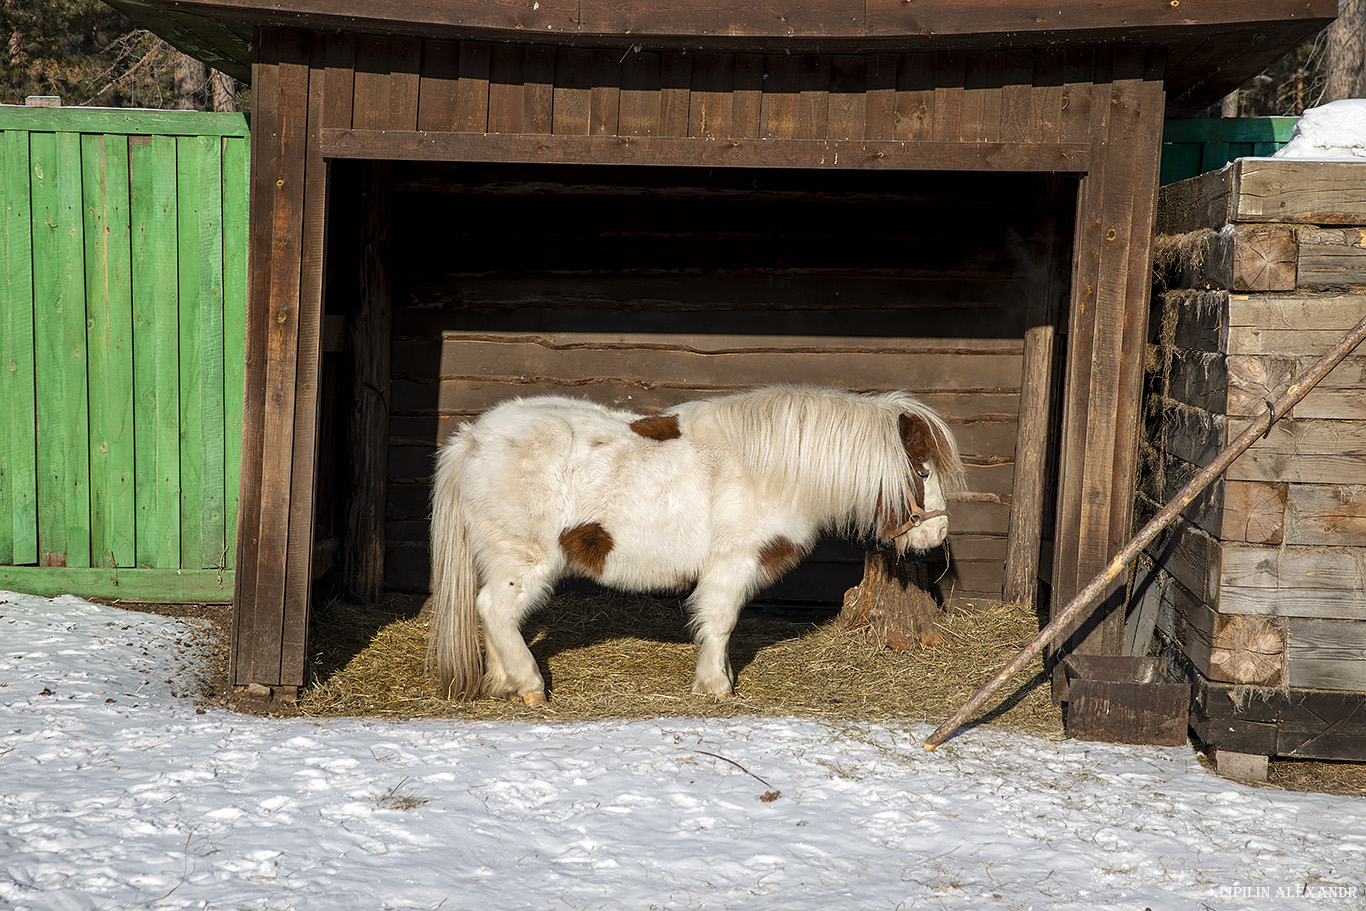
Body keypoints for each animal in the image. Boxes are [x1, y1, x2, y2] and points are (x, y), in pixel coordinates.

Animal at [428, 385, 972, 704]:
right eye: (921, 471)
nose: (937, 534)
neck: (769, 469)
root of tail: (474, 437)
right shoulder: (733, 563)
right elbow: (721, 621)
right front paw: (716, 687)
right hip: (523, 559)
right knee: (496, 610)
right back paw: (531, 686)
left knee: (492, 615)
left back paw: (503, 683)